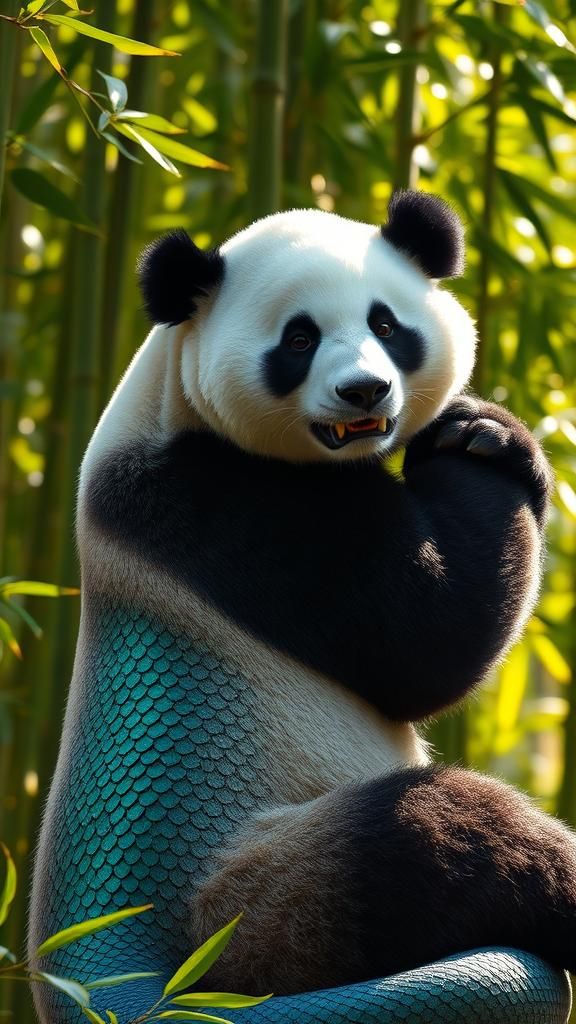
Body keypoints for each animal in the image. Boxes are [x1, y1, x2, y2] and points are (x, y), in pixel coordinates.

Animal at [30, 191, 576, 1024]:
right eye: (298, 338)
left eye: (387, 324)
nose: (365, 392)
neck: (167, 389)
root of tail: (118, 978)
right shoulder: (217, 502)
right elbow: (426, 640)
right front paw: (485, 436)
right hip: (250, 903)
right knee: (441, 838)